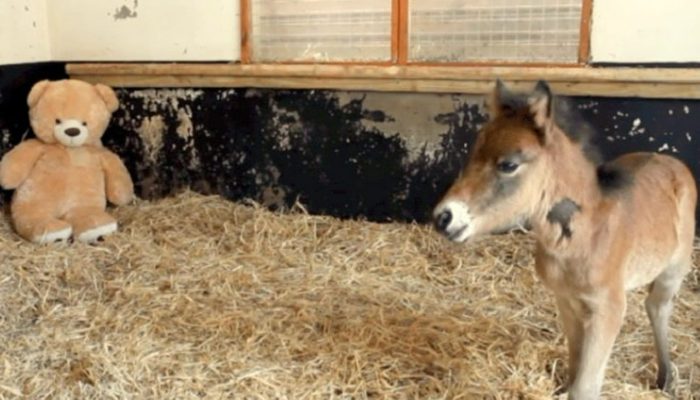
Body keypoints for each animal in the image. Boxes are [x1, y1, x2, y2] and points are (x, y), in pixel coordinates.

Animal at [432, 80, 697, 399]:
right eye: (473, 154)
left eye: (508, 164)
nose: (444, 217)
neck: (581, 238)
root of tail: (671, 160)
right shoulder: (566, 300)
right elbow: (575, 364)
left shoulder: (608, 308)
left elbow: (585, 386)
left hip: (675, 267)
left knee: (658, 306)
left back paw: (666, 377)